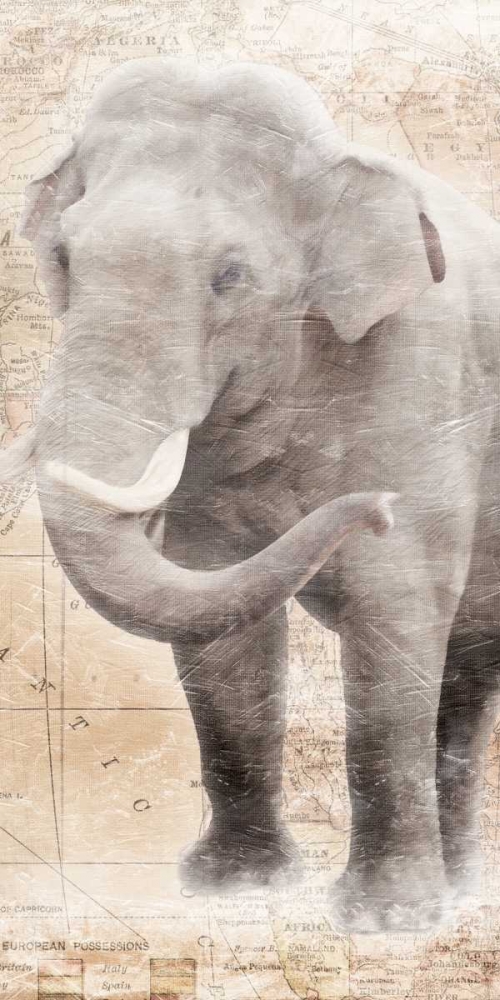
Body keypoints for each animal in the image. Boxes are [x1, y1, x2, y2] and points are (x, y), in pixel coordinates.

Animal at [2, 55, 500, 932]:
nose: (375, 507)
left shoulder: (427, 380)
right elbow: (218, 630)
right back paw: (463, 890)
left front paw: (384, 924)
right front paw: (234, 887)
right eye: (62, 257)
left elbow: (394, 614)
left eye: (230, 278)